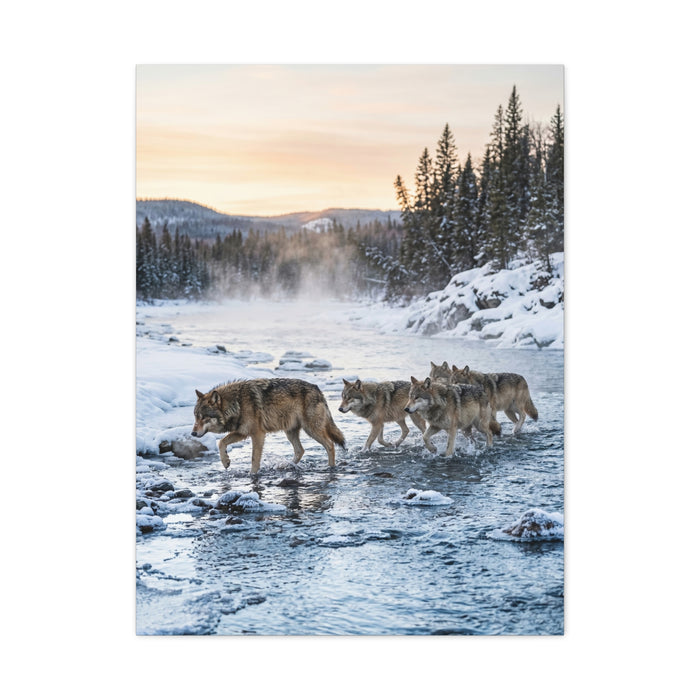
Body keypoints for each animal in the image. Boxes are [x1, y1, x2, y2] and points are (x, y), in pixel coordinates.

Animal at [191, 378, 346, 474]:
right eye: (195, 416)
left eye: (204, 417)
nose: (193, 433)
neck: (237, 403)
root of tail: (318, 389)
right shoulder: (243, 432)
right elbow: (221, 442)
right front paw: (225, 462)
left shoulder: (257, 434)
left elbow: (254, 459)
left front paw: (252, 474)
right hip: (290, 432)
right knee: (300, 450)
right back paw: (287, 465)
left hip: (311, 430)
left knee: (330, 445)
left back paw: (331, 467)